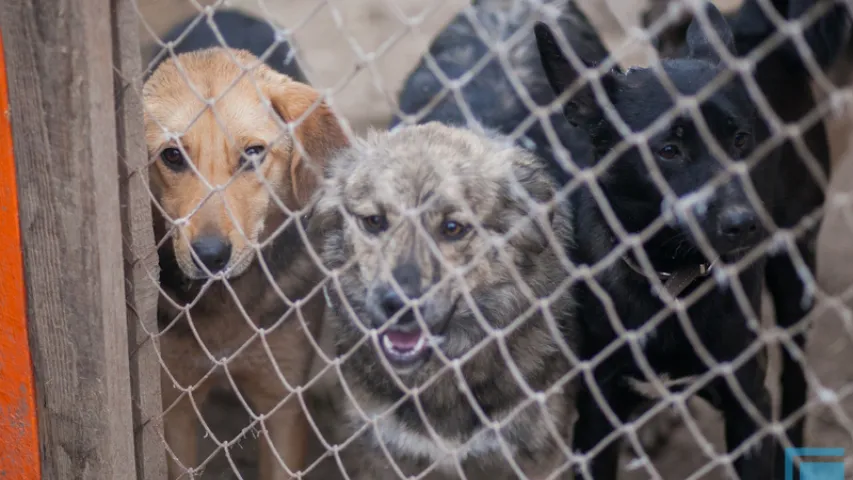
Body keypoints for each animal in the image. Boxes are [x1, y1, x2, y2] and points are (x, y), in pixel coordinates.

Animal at [536, 0, 848, 478]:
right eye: (668, 150)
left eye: (740, 139)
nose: (744, 223)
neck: (668, 276)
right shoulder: (596, 417)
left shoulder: (748, 408)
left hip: (796, 270)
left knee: (794, 381)